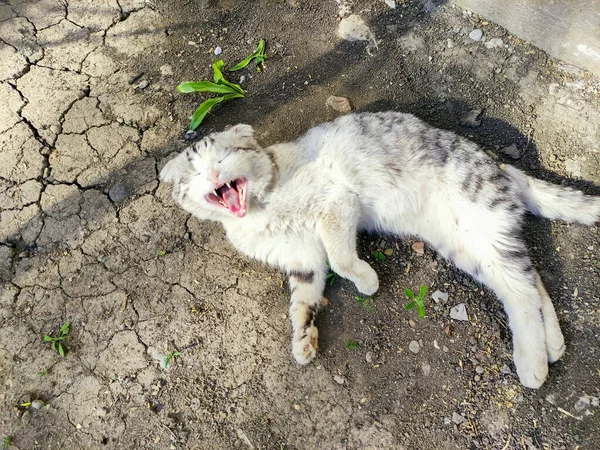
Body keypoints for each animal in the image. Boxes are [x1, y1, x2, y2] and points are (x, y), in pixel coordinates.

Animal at [159, 110, 600, 388]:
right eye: (195, 171)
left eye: (226, 155)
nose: (214, 173)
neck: (258, 211)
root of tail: (503, 168)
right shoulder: (302, 259)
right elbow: (302, 300)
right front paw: (303, 340)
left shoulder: (336, 206)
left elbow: (340, 258)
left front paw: (367, 280)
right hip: (470, 246)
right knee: (528, 282)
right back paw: (552, 345)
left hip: (482, 223)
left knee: (523, 292)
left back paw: (532, 364)